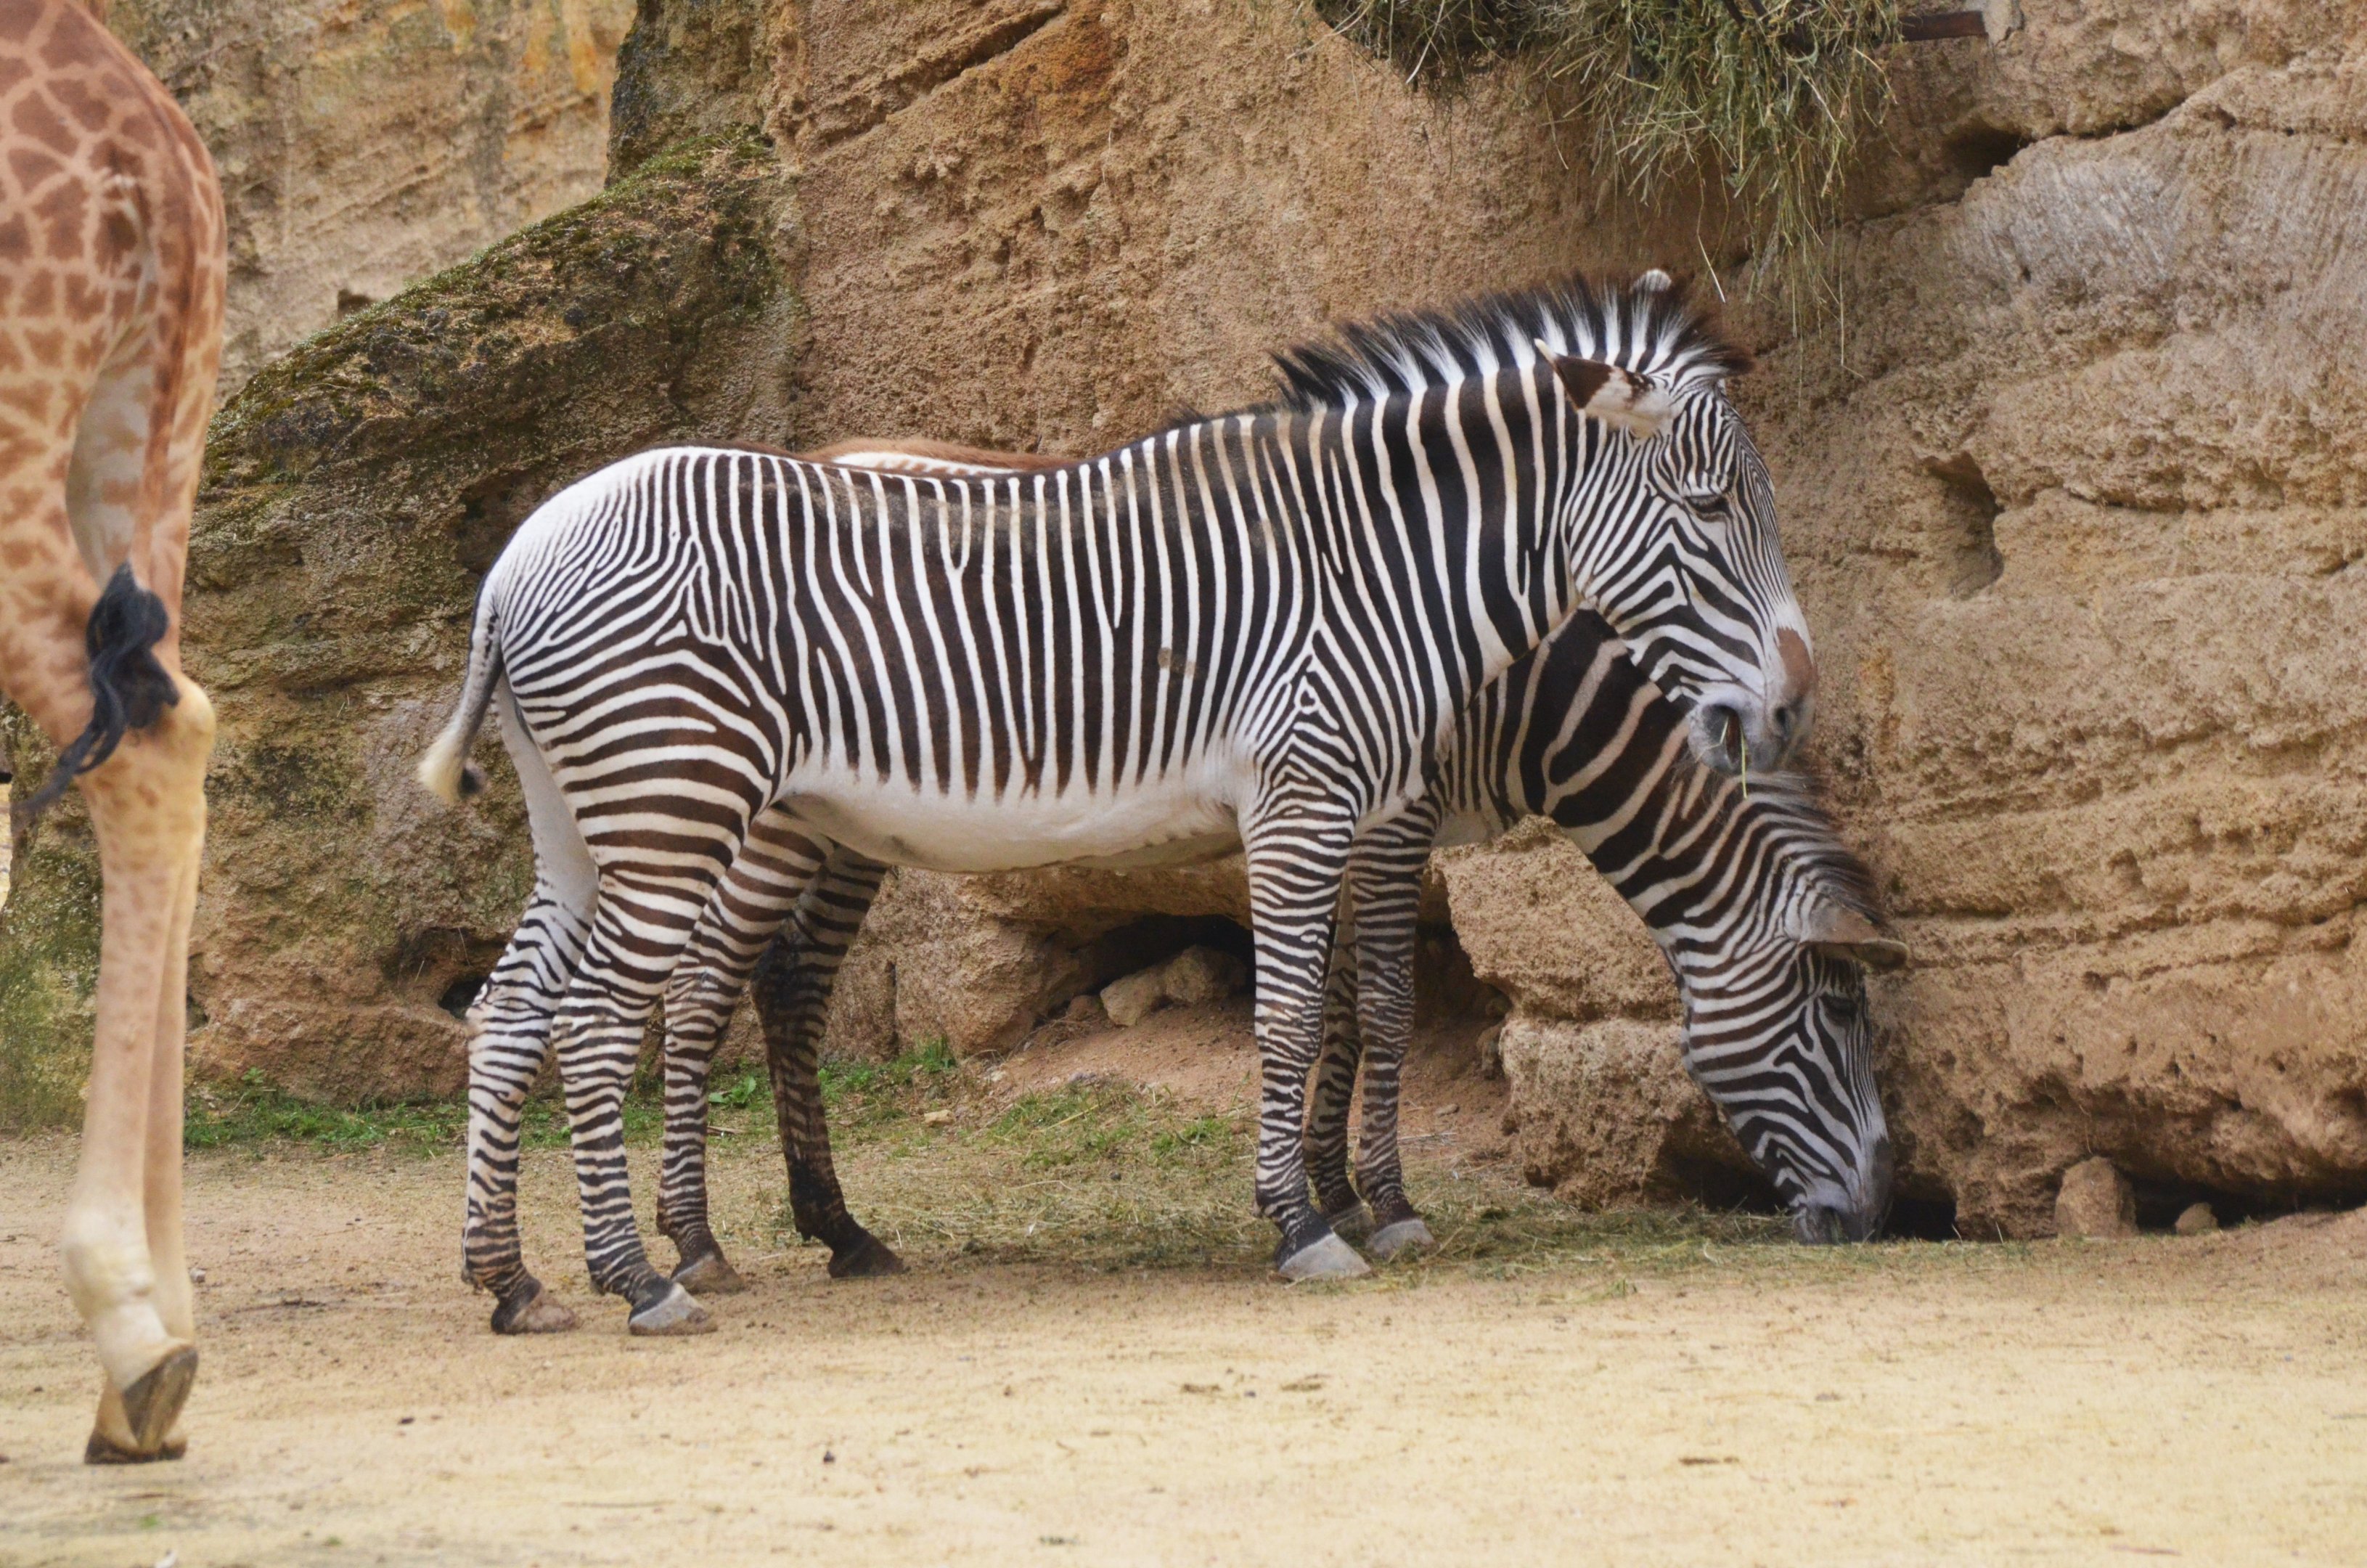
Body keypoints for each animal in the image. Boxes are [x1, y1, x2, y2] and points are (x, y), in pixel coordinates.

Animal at [417, 273, 1814, 1333]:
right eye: (1708, 509)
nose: (1794, 704)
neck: (1375, 571)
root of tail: (515, 560)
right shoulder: (1311, 797)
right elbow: (1304, 1013)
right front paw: (1308, 1223)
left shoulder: (1353, 809)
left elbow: (1345, 1009)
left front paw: (1342, 1199)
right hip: (680, 802)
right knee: (607, 1018)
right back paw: (646, 1278)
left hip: (588, 820)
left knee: (510, 1008)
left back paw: (515, 1283)